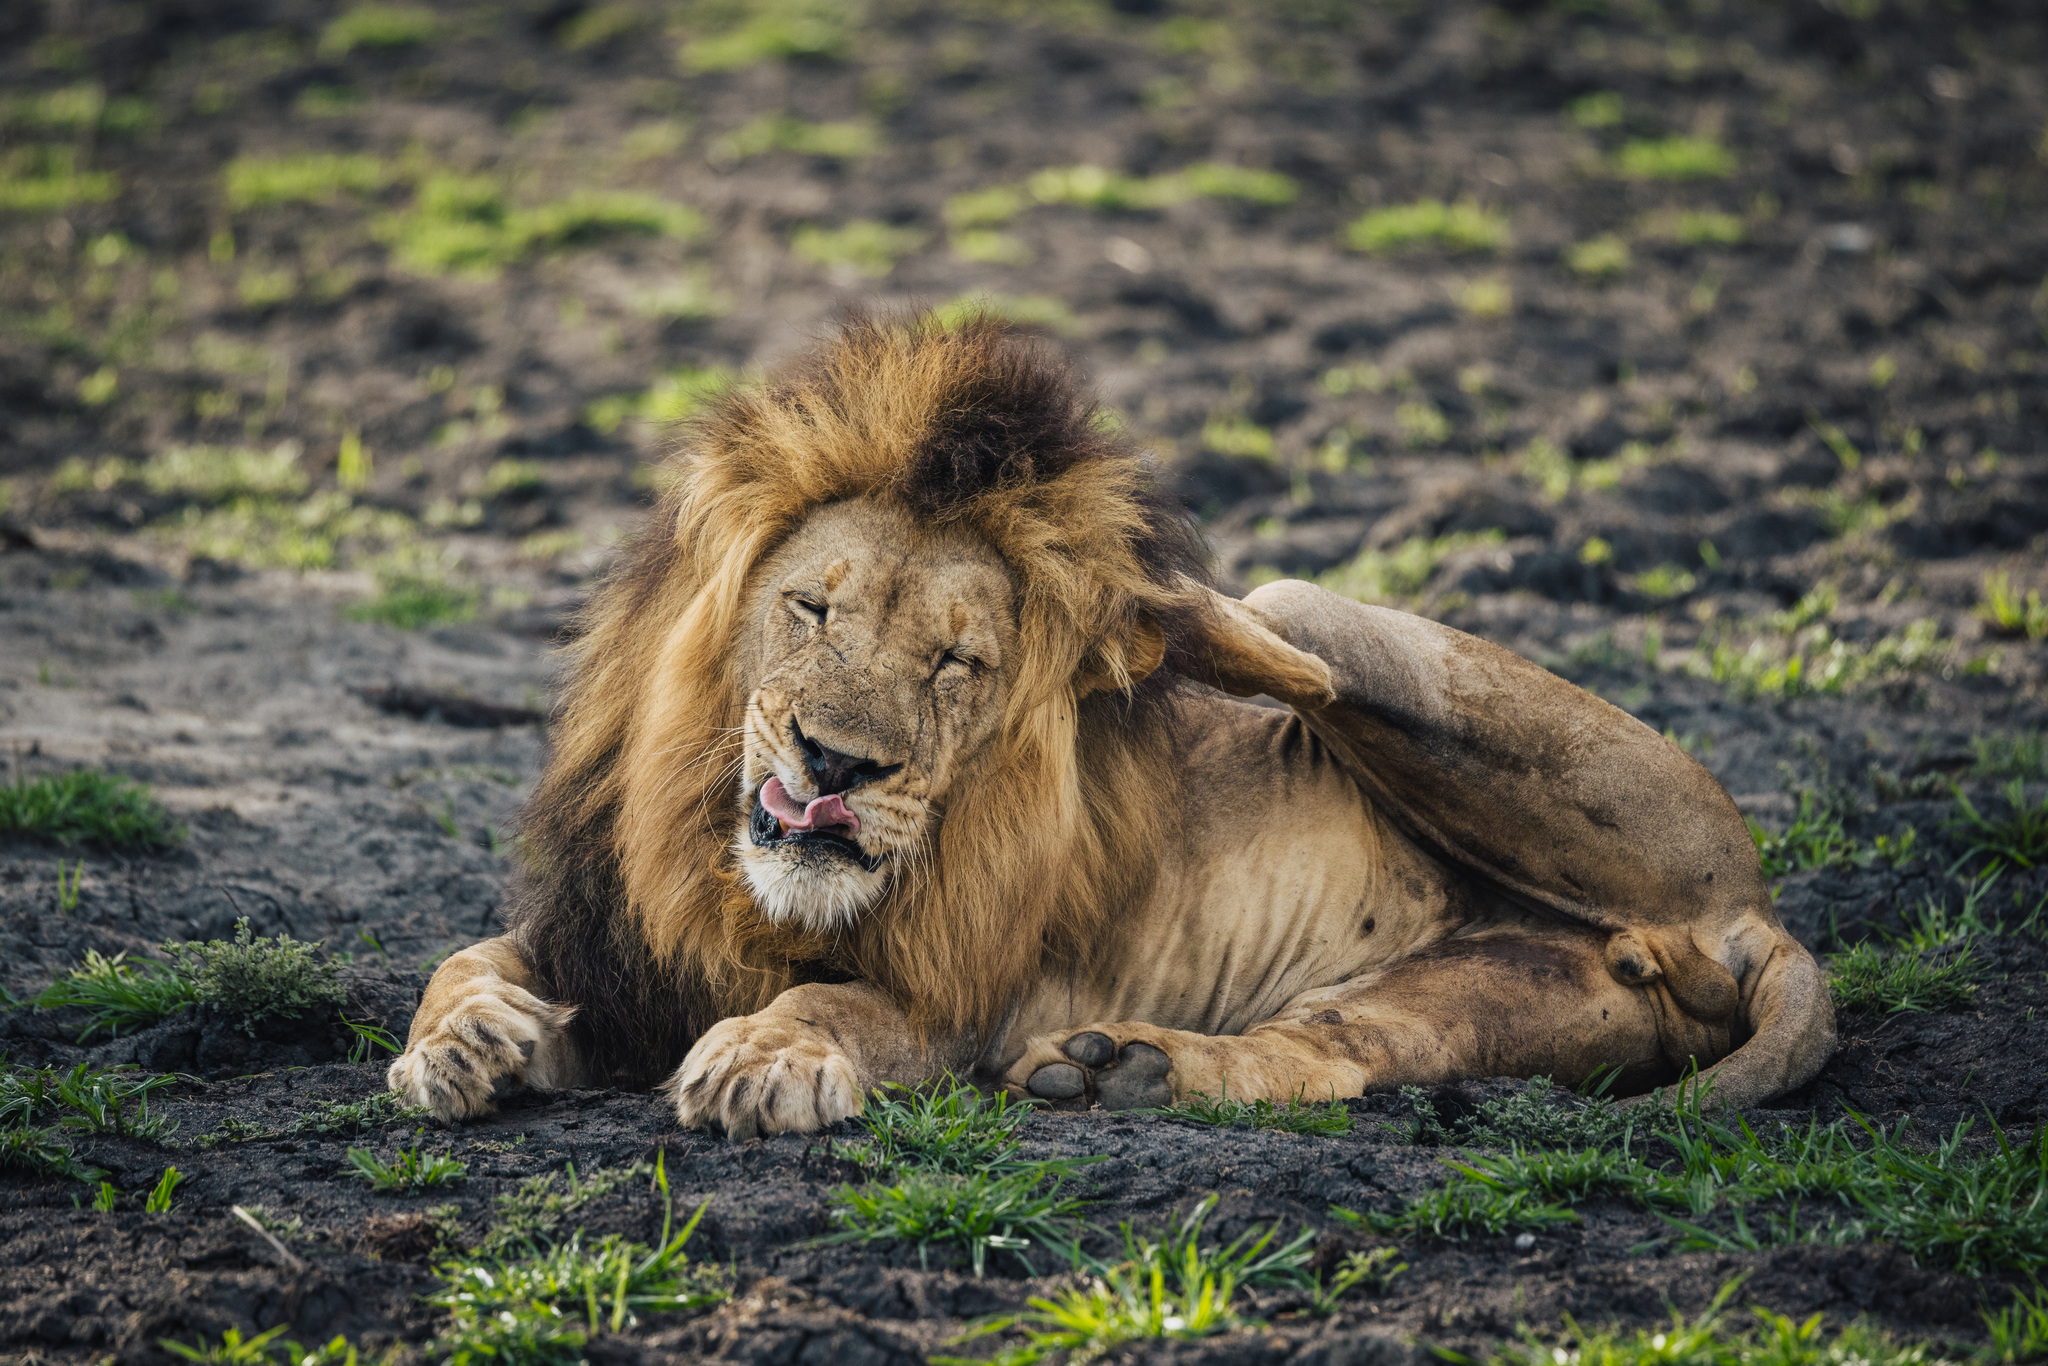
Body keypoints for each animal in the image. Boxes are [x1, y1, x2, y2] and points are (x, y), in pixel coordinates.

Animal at [387, 313, 1835, 1137]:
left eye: (958, 662)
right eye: (809, 607)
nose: (834, 761)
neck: (742, 879)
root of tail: (1756, 910)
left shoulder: (966, 999)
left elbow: (836, 997)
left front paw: (766, 1054)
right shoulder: (619, 946)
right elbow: (464, 955)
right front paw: (459, 1043)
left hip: (1337, 630)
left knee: (1326, 1025)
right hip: (1506, 987)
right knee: (1338, 1045)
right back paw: (1118, 1068)